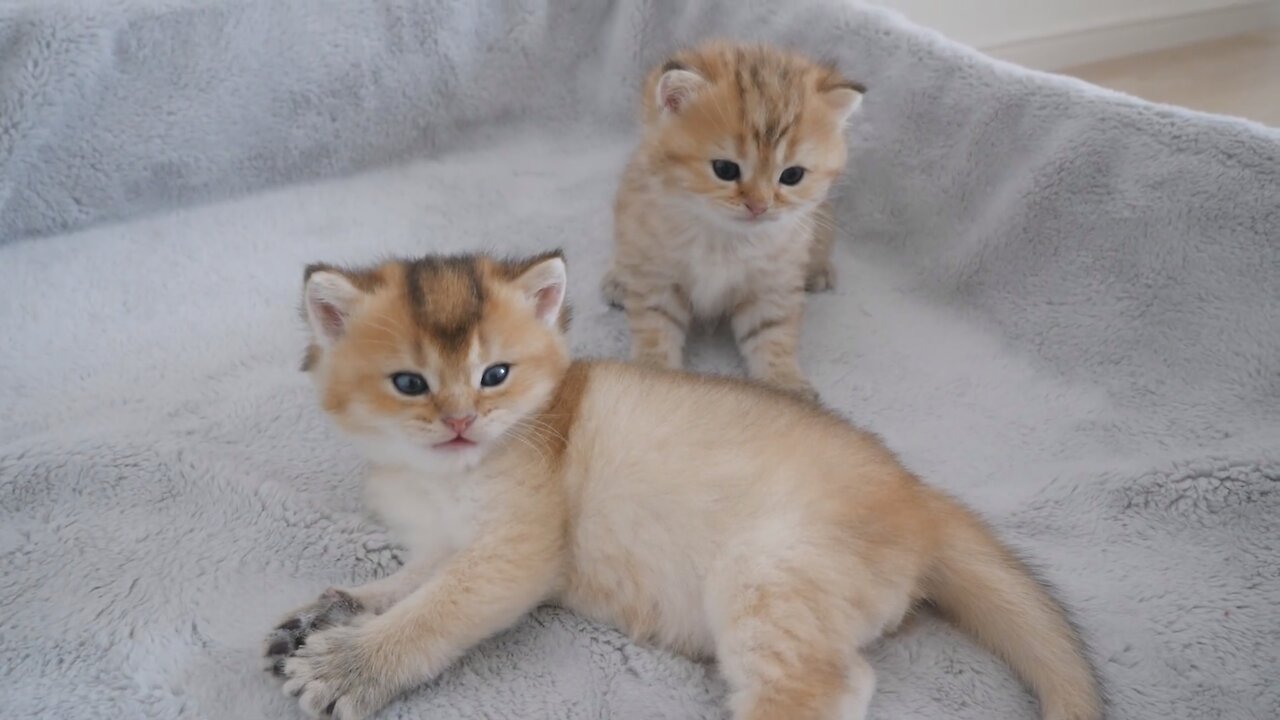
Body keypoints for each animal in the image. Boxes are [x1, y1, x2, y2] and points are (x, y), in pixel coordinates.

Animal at [267, 248, 1100, 717]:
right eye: (409, 383)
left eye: (494, 375)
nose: (461, 421)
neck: (440, 476)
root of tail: (921, 497)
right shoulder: (445, 541)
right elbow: (407, 584)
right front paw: (331, 613)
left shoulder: (516, 549)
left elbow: (437, 611)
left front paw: (352, 663)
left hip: (767, 569)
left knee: (829, 686)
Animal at [599, 41, 860, 394]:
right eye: (725, 169)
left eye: (792, 175)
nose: (759, 206)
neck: (723, 237)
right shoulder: (656, 274)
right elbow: (655, 328)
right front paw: (652, 375)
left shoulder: (773, 284)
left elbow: (774, 336)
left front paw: (785, 385)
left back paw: (819, 271)